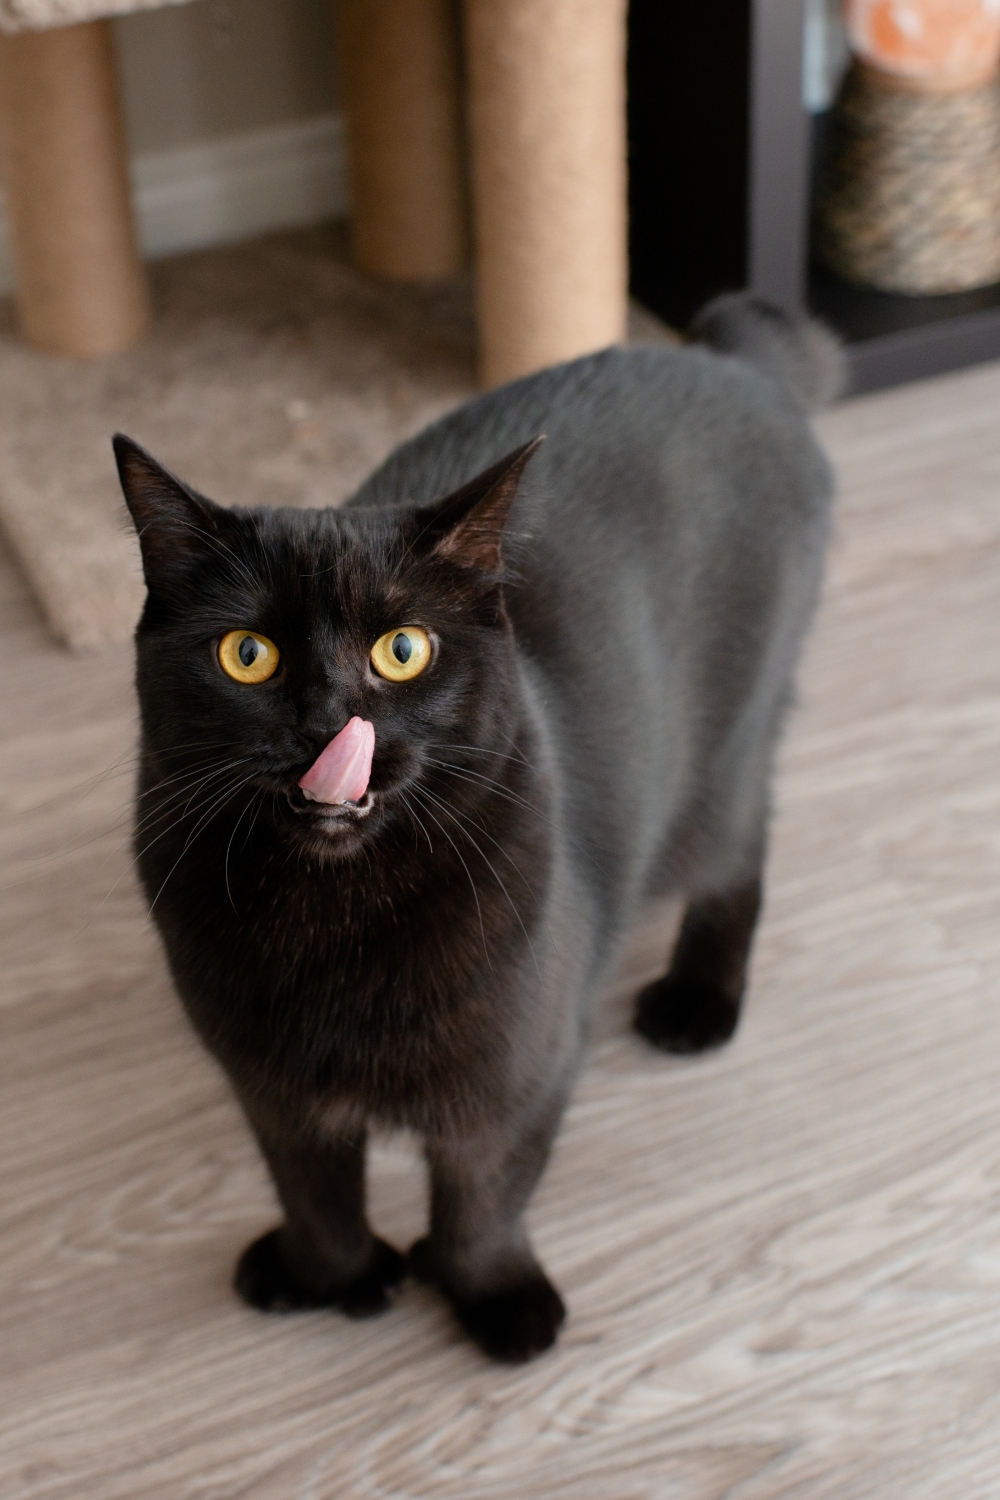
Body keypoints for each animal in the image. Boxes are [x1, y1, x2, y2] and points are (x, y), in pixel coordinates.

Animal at [115, 289, 839, 1362]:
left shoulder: (520, 1076)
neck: (335, 923)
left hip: (726, 756)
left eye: (402, 649)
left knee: (739, 857)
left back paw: (697, 1003)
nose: (331, 723)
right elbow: (314, 1193)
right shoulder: (273, 1088)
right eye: (247, 654)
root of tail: (733, 360)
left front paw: (496, 1301)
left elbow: (483, 1202)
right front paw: (333, 1279)